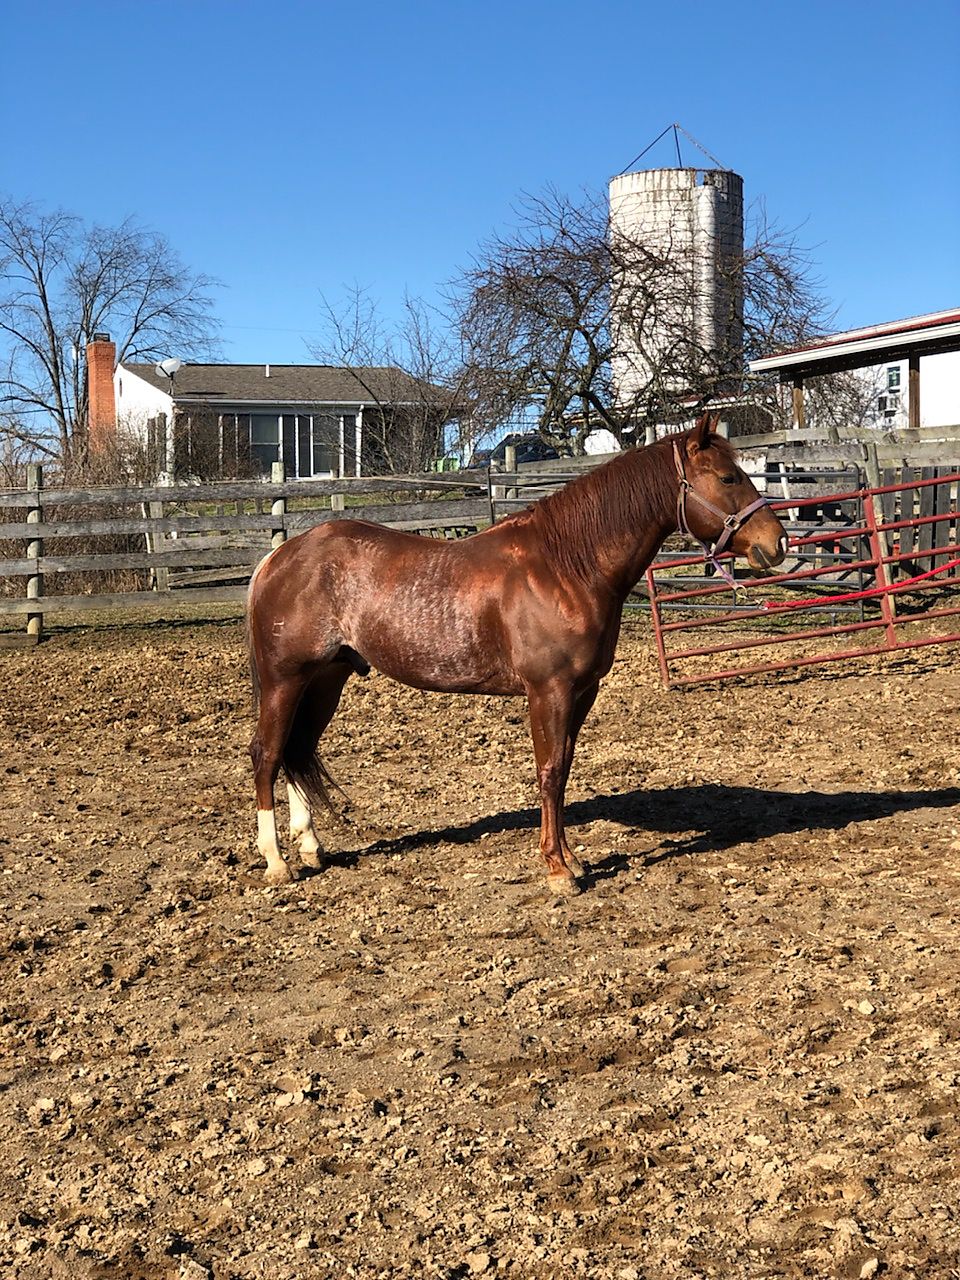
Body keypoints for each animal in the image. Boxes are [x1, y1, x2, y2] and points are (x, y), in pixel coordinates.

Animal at [245, 413, 787, 894]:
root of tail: (279, 557)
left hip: (325, 679)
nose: (777, 543)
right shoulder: (549, 690)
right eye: (728, 477)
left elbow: (563, 769)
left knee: (297, 750)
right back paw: (276, 862)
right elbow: (549, 771)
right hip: (284, 679)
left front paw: (572, 859)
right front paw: (558, 871)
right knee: (267, 753)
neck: (566, 565)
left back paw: (311, 847)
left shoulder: (582, 692)